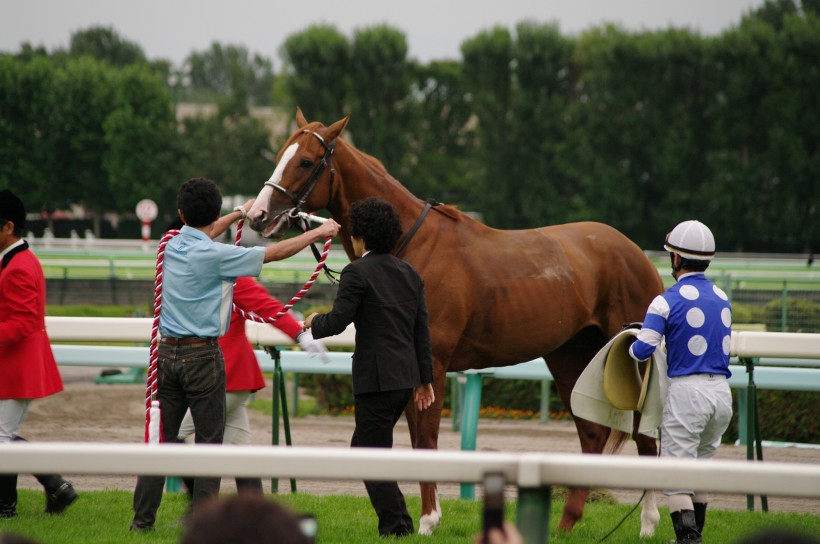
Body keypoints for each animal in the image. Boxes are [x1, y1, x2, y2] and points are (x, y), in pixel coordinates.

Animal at [247, 107, 664, 536]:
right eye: (279, 155)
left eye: (306, 161)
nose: (258, 216)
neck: (407, 243)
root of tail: (635, 252)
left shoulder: (433, 364)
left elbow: (427, 440)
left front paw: (429, 520)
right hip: (569, 355)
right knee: (592, 432)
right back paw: (566, 524)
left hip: (630, 358)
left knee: (645, 437)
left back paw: (648, 524)